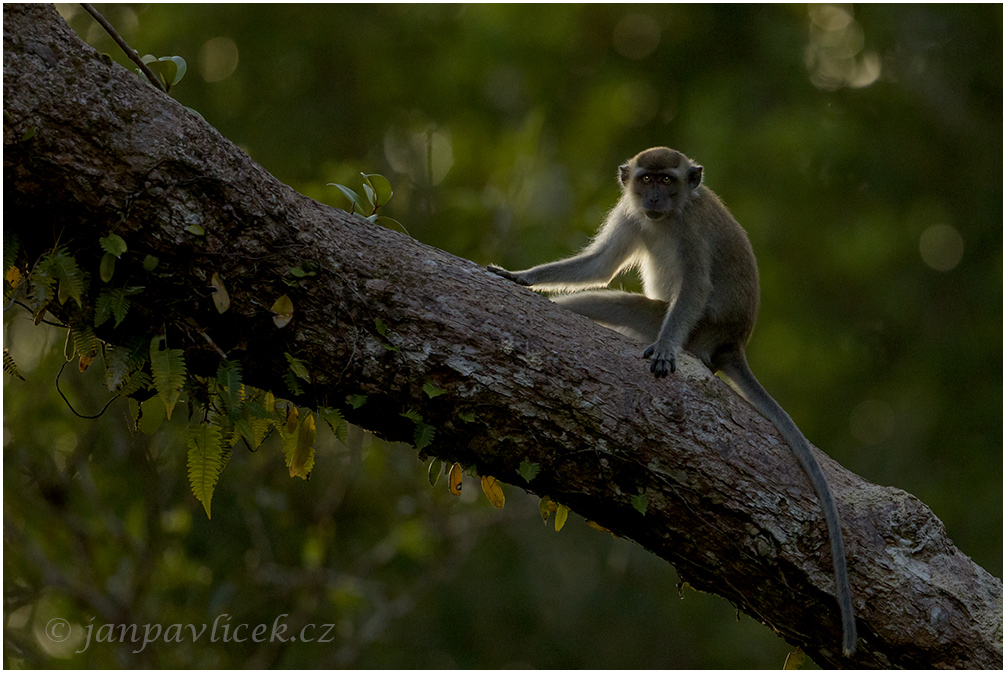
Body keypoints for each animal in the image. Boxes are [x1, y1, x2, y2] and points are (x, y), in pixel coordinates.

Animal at [486, 146, 857, 655]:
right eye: (647, 180)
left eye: (667, 179)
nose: (655, 198)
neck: (668, 217)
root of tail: (730, 344)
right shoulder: (630, 214)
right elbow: (598, 266)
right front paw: (520, 278)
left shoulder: (692, 230)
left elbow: (695, 286)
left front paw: (663, 348)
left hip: (697, 333)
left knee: (638, 307)